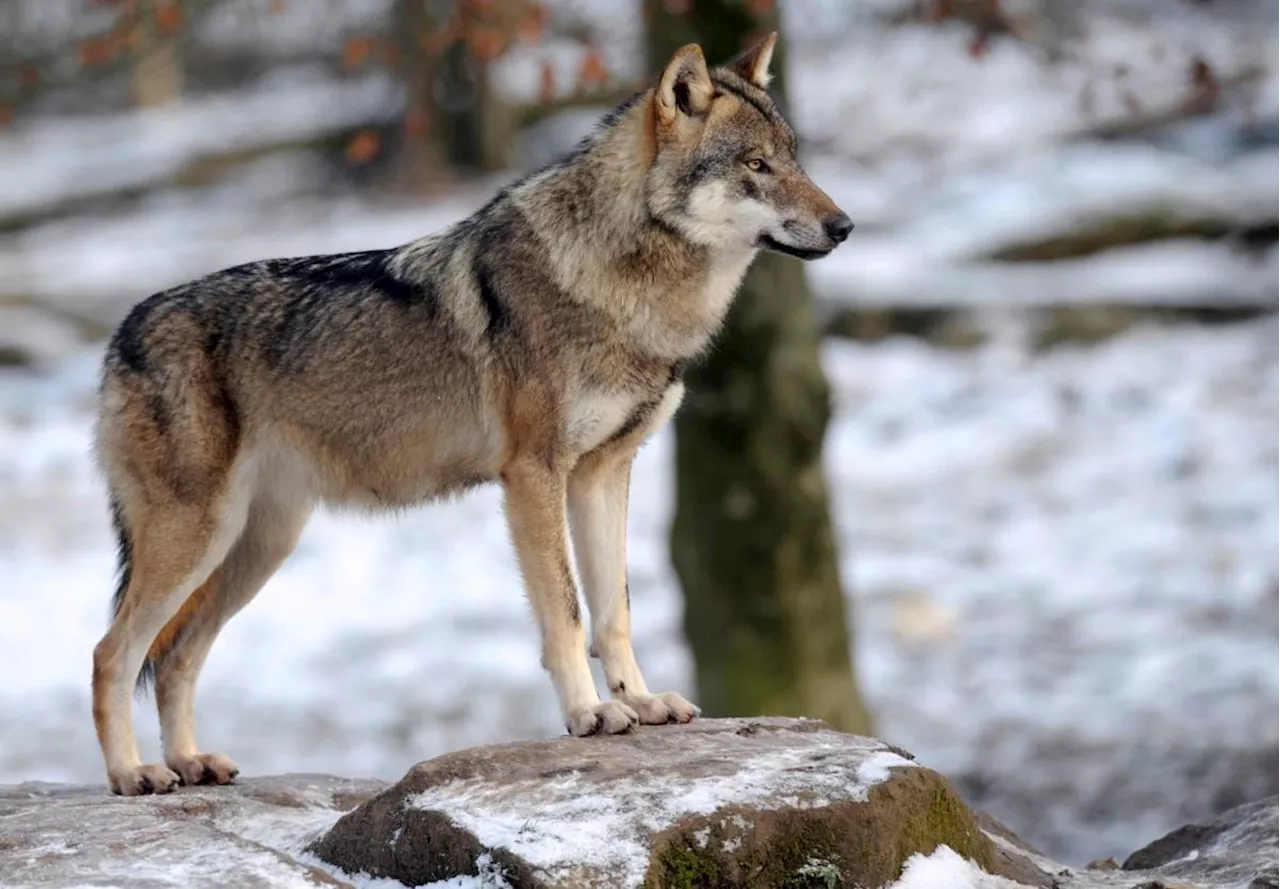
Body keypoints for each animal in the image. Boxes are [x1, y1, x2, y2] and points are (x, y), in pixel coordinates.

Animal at [90, 34, 849, 798]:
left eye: (794, 156)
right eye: (756, 165)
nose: (844, 226)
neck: (623, 286)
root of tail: (120, 333)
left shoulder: (603, 473)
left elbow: (615, 610)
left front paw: (639, 700)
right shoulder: (534, 475)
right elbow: (567, 611)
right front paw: (591, 714)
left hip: (257, 547)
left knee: (176, 657)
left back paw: (191, 762)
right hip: (198, 539)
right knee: (111, 653)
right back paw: (134, 773)